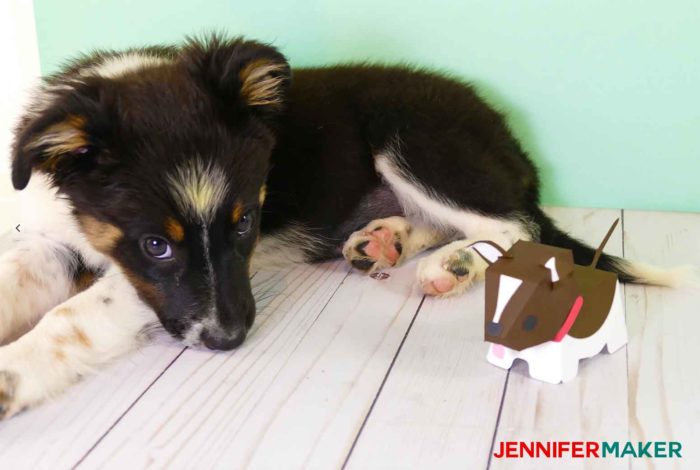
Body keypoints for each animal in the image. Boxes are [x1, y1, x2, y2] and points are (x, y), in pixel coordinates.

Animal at [0, 36, 680, 418]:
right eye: (156, 243)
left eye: (247, 222)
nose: (230, 340)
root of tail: (514, 144)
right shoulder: (66, 244)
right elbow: (17, 277)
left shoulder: (149, 288)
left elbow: (70, 318)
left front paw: (11, 376)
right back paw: (387, 240)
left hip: (410, 136)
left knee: (513, 224)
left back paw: (454, 263)